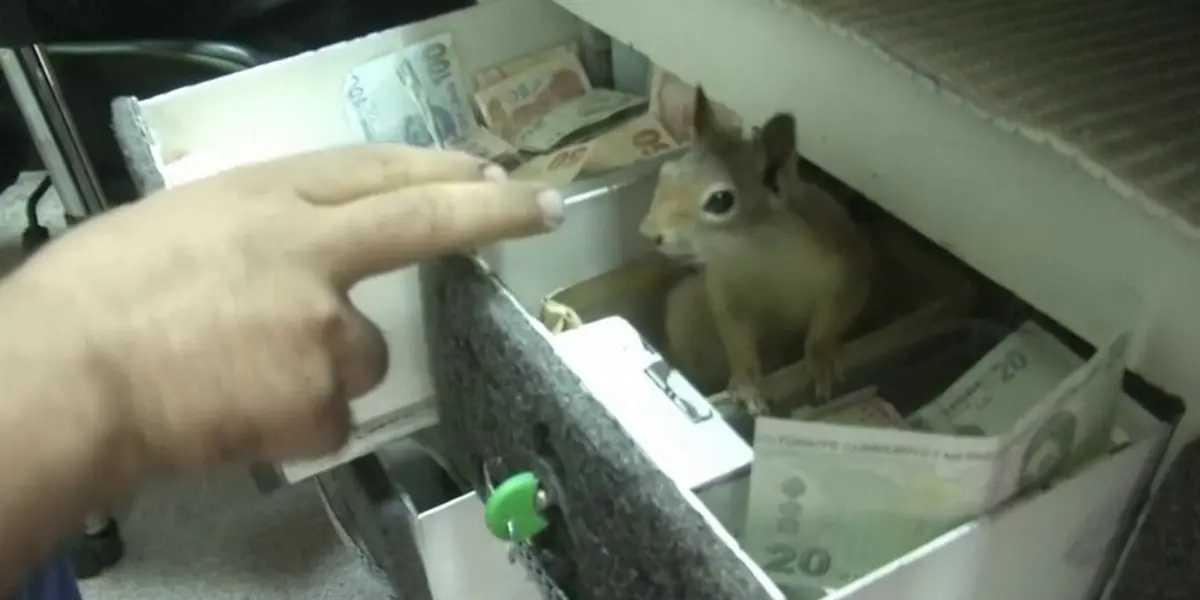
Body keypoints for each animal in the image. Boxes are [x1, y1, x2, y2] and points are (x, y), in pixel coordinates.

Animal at [640, 87, 873, 415]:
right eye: (666, 172)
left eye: (720, 201)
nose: (648, 233)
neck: (759, 248)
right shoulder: (724, 284)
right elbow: (736, 336)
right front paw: (746, 383)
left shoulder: (848, 264)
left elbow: (836, 315)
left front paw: (821, 356)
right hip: (687, 308)